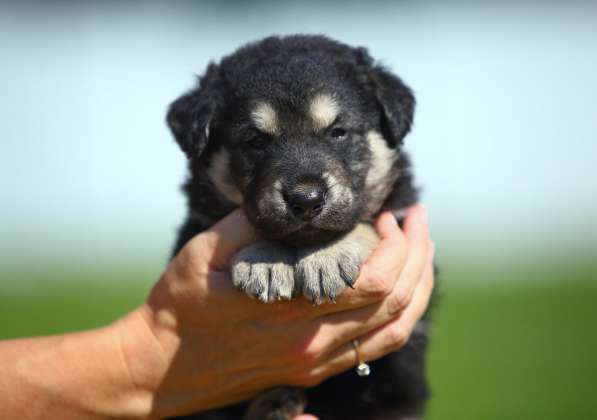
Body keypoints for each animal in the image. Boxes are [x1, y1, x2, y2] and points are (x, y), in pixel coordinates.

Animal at [168, 35, 428, 420]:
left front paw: (327, 258)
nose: (306, 199)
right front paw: (266, 263)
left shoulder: (398, 209)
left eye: (338, 132)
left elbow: (364, 220)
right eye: (256, 141)